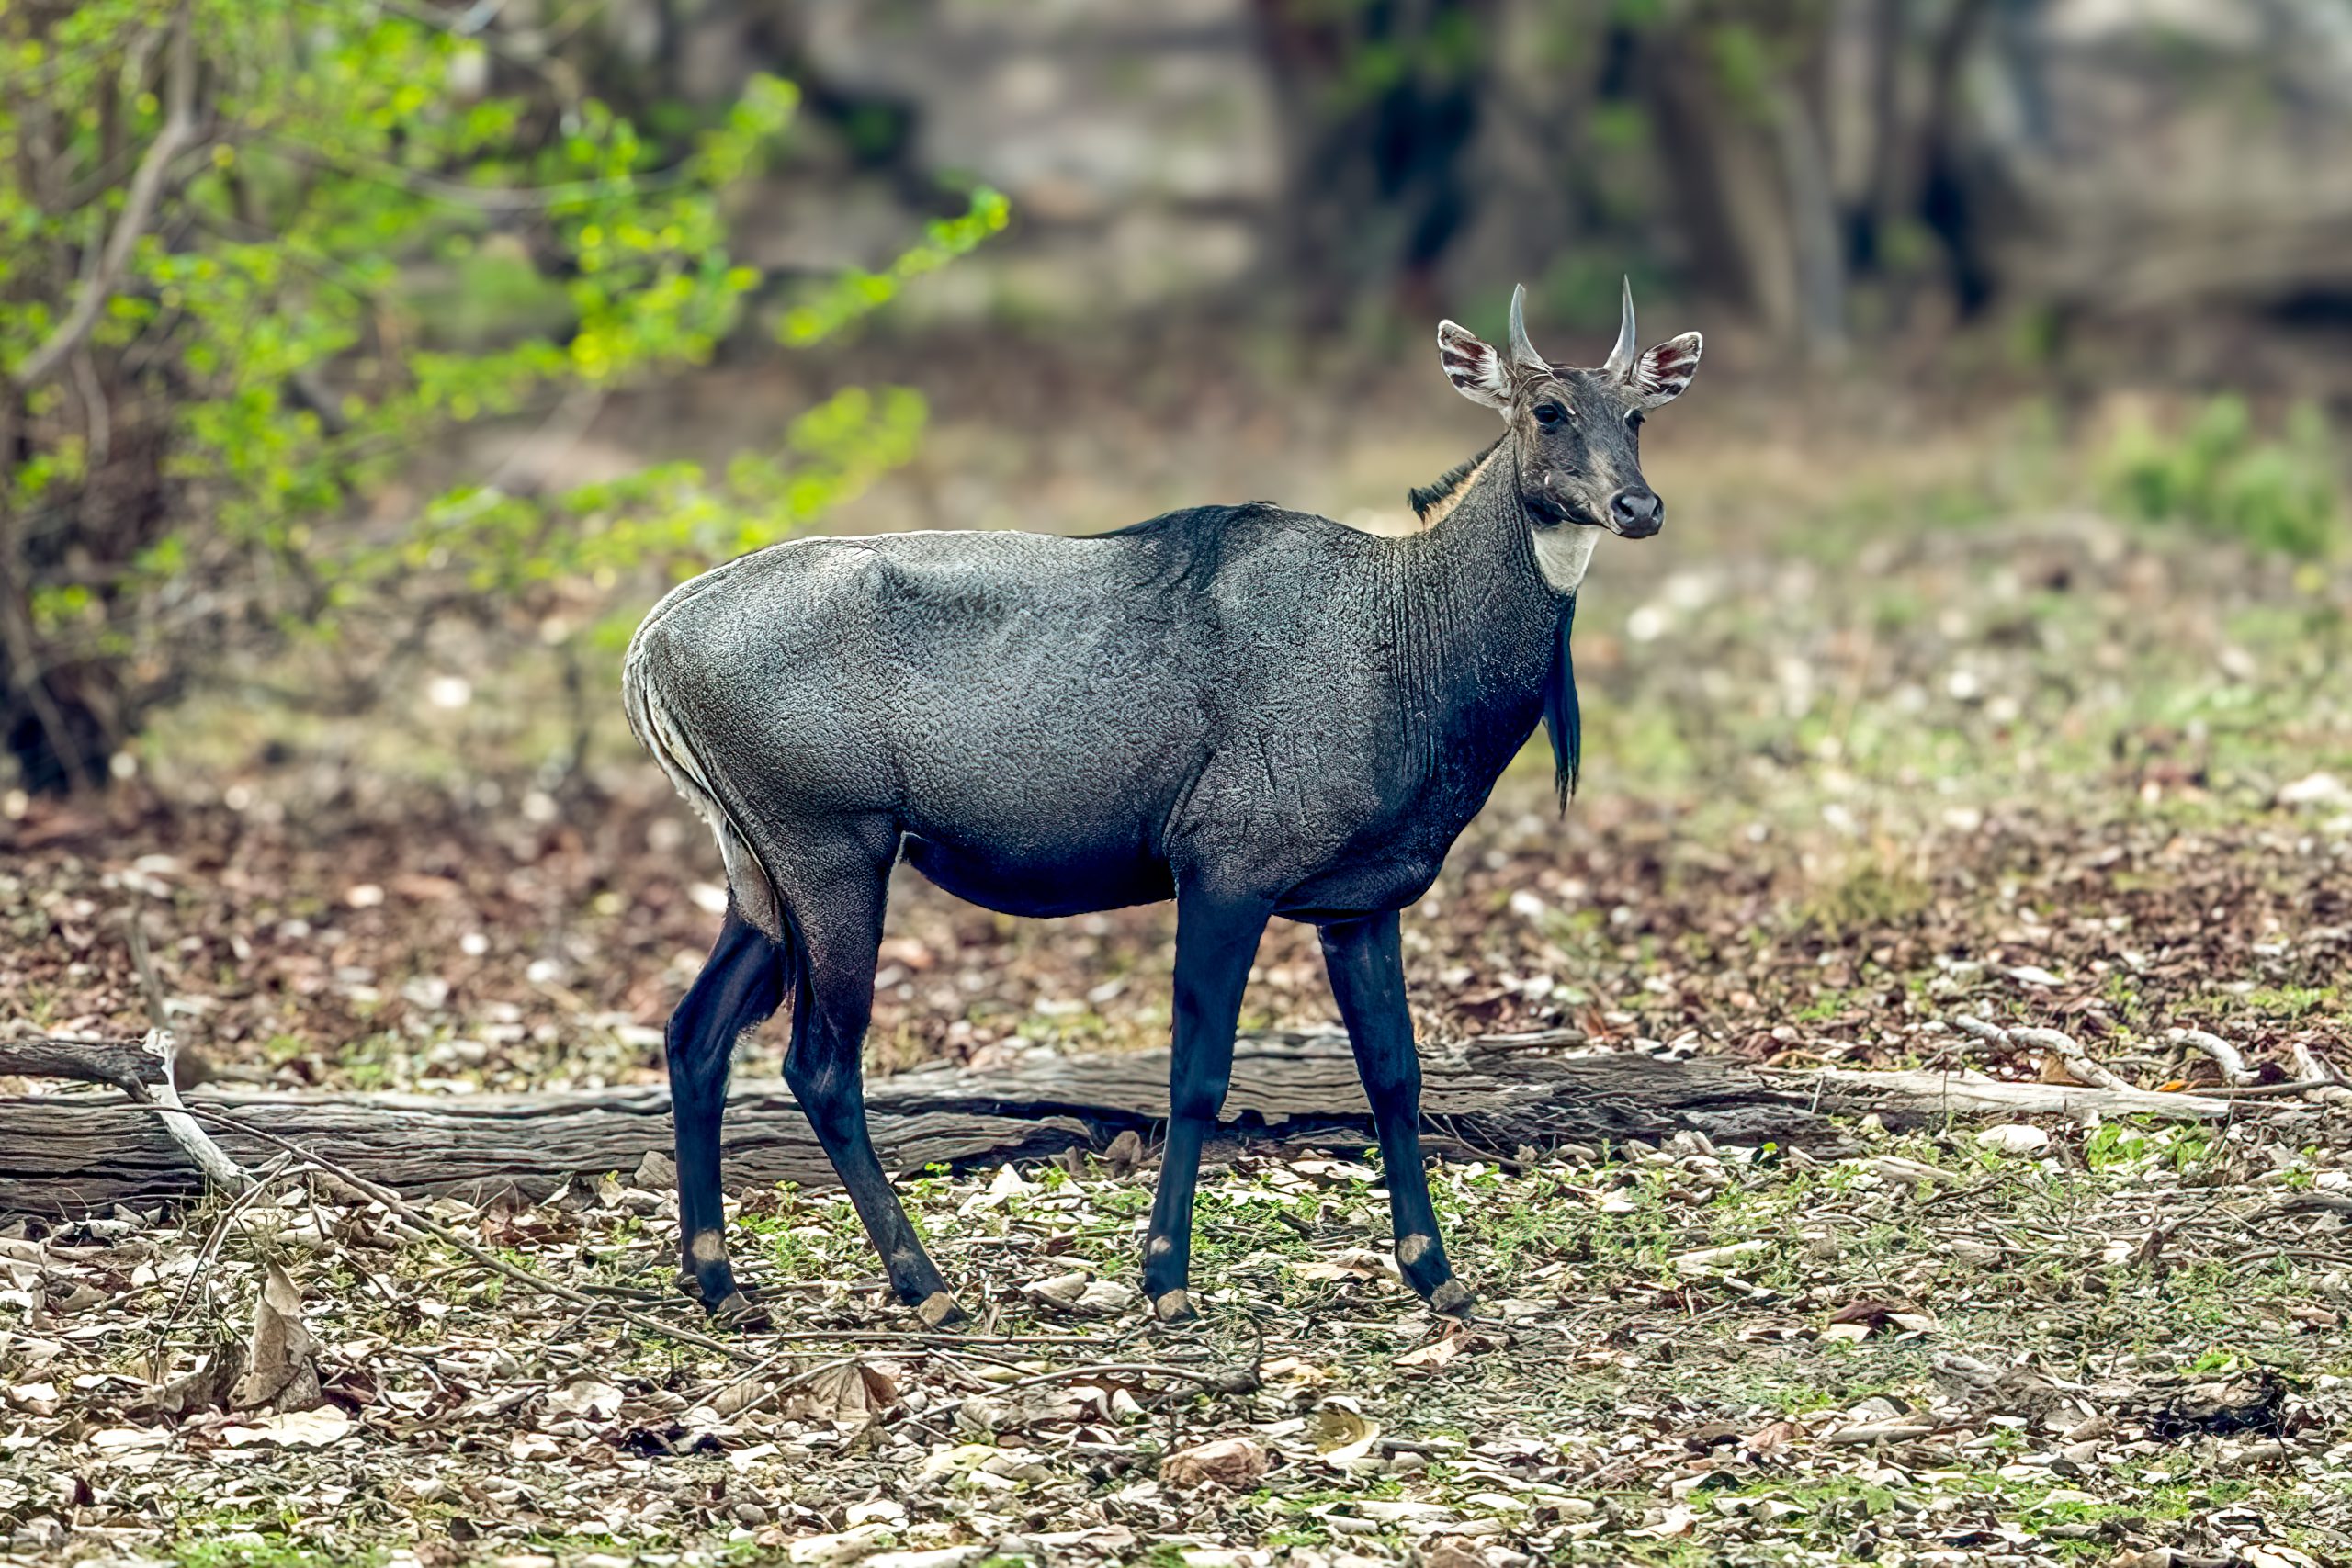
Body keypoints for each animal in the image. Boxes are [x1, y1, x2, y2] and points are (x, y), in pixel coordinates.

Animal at [625, 285, 1693, 1325]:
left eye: (1638, 414)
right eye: (1547, 411)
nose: (1638, 505)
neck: (1400, 632)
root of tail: (653, 639)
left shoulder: (1360, 904)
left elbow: (1394, 1074)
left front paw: (1437, 1273)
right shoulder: (1224, 873)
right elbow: (1197, 1074)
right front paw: (1167, 1278)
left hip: (758, 877)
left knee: (695, 1034)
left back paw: (719, 1280)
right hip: (833, 854)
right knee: (819, 1064)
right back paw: (926, 1287)